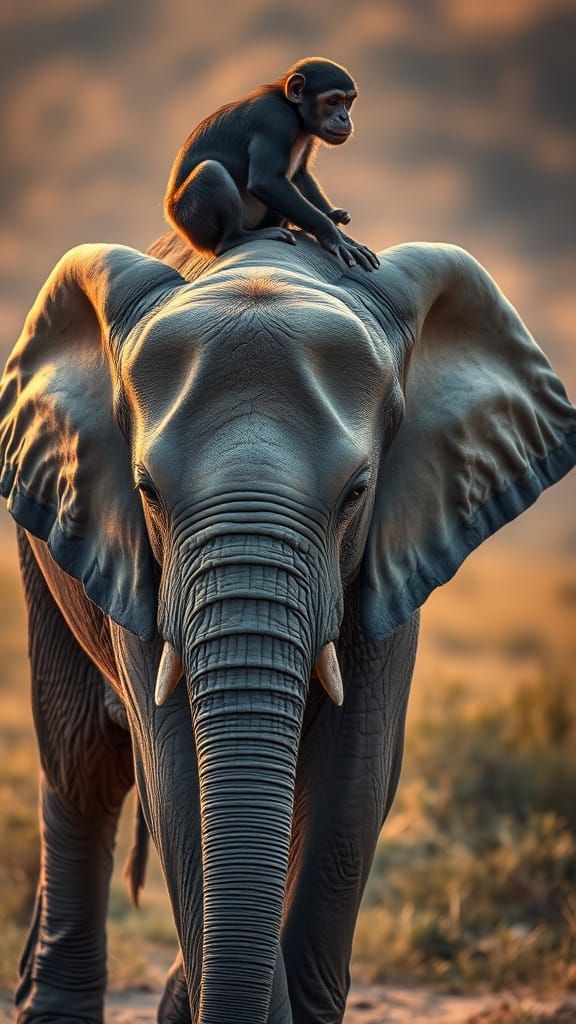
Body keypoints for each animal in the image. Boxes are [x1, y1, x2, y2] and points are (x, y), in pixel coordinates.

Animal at [164, 57, 380, 272]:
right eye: (333, 102)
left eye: (348, 102)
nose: (344, 117)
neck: (293, 109)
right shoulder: (274, 120)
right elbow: (266, 180)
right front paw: (335, 237)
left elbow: (300, 174)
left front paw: (339, 227)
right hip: (197, 223)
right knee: (212, 171)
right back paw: (239, 237)